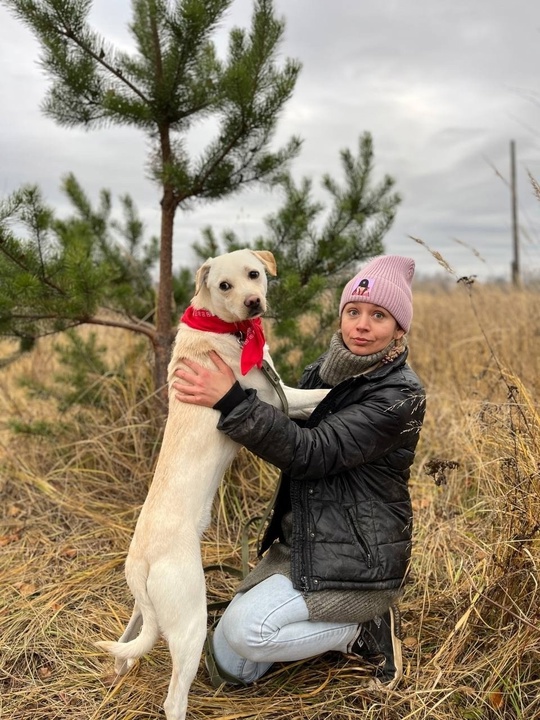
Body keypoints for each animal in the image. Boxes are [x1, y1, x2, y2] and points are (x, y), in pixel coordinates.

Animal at [97, 249, 330, 720]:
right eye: (225, 285)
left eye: (254, 275)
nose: (253, 304)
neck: (228, 330)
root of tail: (142, 560)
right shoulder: (274, 399)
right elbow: (322, 394)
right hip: (189, 622)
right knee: (173, 699)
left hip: (146, 611)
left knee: (128, 641)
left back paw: (120, 669)